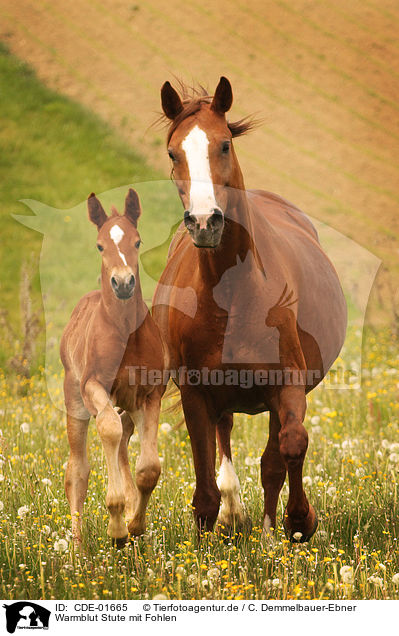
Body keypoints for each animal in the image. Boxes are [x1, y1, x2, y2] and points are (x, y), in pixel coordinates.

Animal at [60, 189, 166, 548]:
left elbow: (148, 468)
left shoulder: (150, 394)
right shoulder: (94, 388)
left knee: (123, 443)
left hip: (129, 405)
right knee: (77, 470)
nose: (122, 283)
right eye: (99, 246)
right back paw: (78, 550)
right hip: (75, 403)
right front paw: (117, 526)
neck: (124, 335)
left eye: (137, 241)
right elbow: (107, 429)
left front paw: (135, 525)